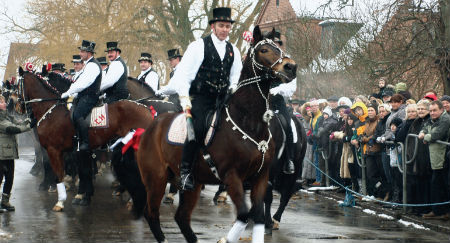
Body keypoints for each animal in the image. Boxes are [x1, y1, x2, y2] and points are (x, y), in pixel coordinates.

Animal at [17, 66, 155, 211]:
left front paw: (61, 200)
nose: (19, 107)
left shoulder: (54, 150)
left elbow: (61, 174)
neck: (52, 111)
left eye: (17, 85)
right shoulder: (75, 151)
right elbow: (83, 172)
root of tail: (147, 109)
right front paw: (82, 196)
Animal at [136, 26, 298, 243]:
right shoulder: (232, 176)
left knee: (181, 217)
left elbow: (256, 215)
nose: (291, 67)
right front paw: (225, 239)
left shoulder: (260, 177)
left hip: (193, 184)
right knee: (152, 213)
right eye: (264, 50)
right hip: (156, 178)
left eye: (280, 46)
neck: (249, 123)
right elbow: (244, 214)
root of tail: (152, 126)